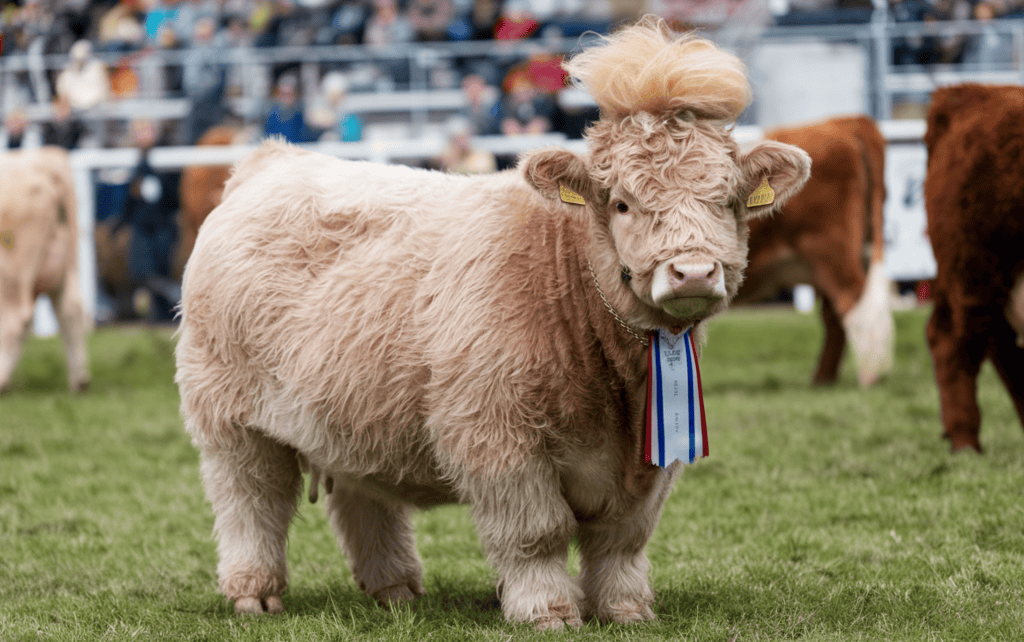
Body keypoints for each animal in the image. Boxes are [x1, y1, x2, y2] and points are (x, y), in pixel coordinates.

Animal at [0, 146, 89, 393]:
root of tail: (44, 157)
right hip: (66, 261)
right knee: (71, 308)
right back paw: (79, 381)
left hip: (13, 269)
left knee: (15, 319)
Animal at [174, 19, 811, 630]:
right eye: (622, 203)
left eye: (726, 201)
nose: (693, 271)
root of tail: (275, 160)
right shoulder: (498, 436)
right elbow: (538, 533)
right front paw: (548, 611)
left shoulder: (647, 459)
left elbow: (622, 538)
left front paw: (626, 609)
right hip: (231, 417)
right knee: (251, 500)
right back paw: (254, 592)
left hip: (350, 411)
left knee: (362, 499)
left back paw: (395, 591)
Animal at [733, 115, 894, 387]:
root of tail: (843, 122)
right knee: (835, 316)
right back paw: (822, 380)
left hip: (832, 251)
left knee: (856, 304)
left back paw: (867, 378)